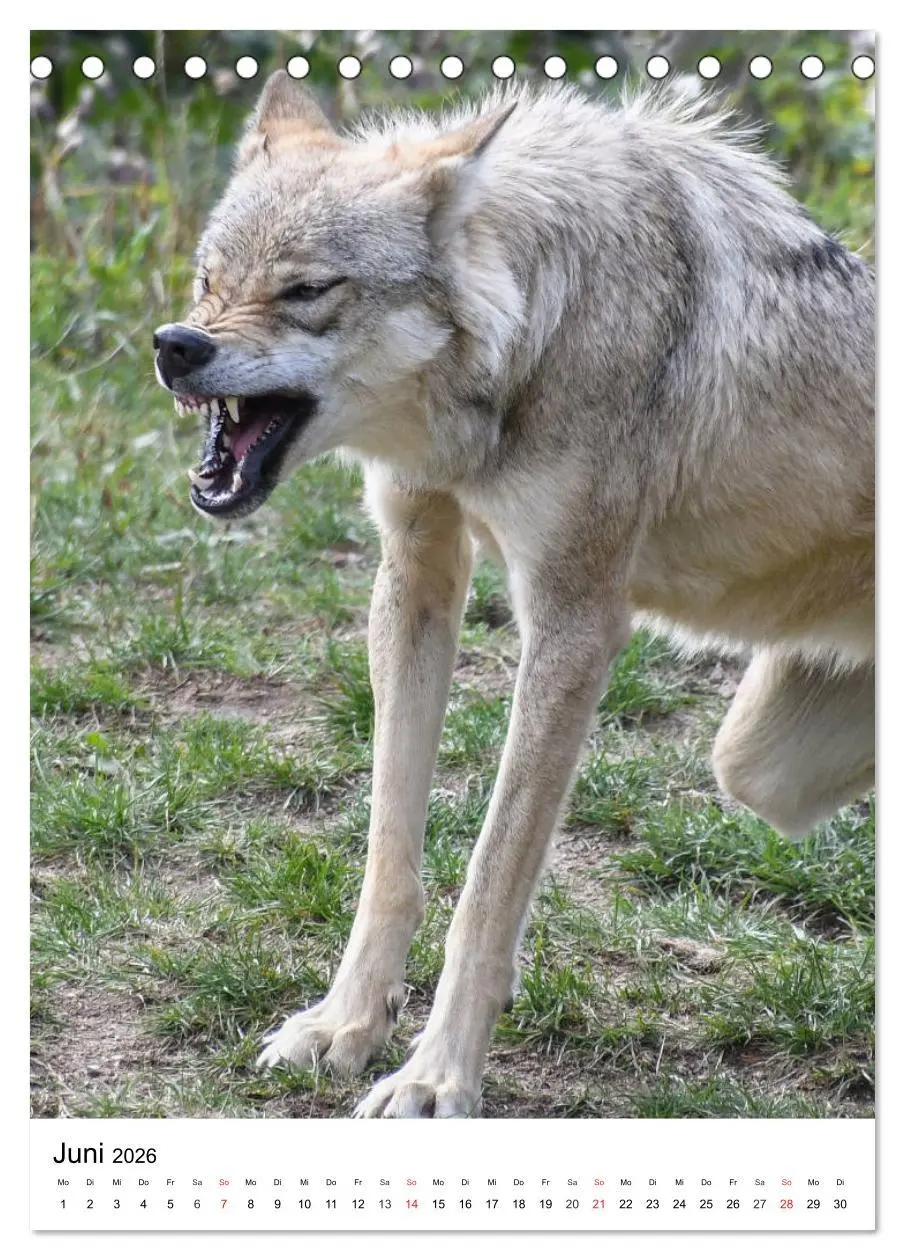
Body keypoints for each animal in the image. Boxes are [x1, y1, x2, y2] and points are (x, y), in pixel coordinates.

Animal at [154, 70, 875, 1117]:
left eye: (306, 291)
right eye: (209, 279)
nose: (176, 346)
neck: (533, 331)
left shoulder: (575, 623)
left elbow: (490, 884)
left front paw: (433, 1078)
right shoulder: (414, 574)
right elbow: (389, 854)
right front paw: (346, 1025)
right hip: (760, 765)